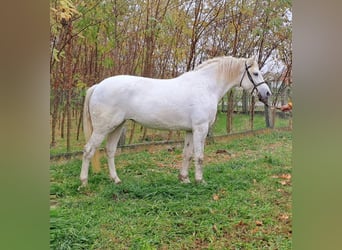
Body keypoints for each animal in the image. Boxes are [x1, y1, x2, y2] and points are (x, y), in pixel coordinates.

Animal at [79, 56, 272, 186]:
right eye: (255, 73)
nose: (267, 93)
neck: (206, 86)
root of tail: (98, 86)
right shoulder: (200, 128)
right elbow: (199, 156)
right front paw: (200, 180)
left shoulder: (190, 130)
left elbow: (187, 154)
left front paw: (184, 178)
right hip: (102, 128)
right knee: (88, 151)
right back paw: (84, 182)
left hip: (117, 126)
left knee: (110, 151)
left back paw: (116, 180)